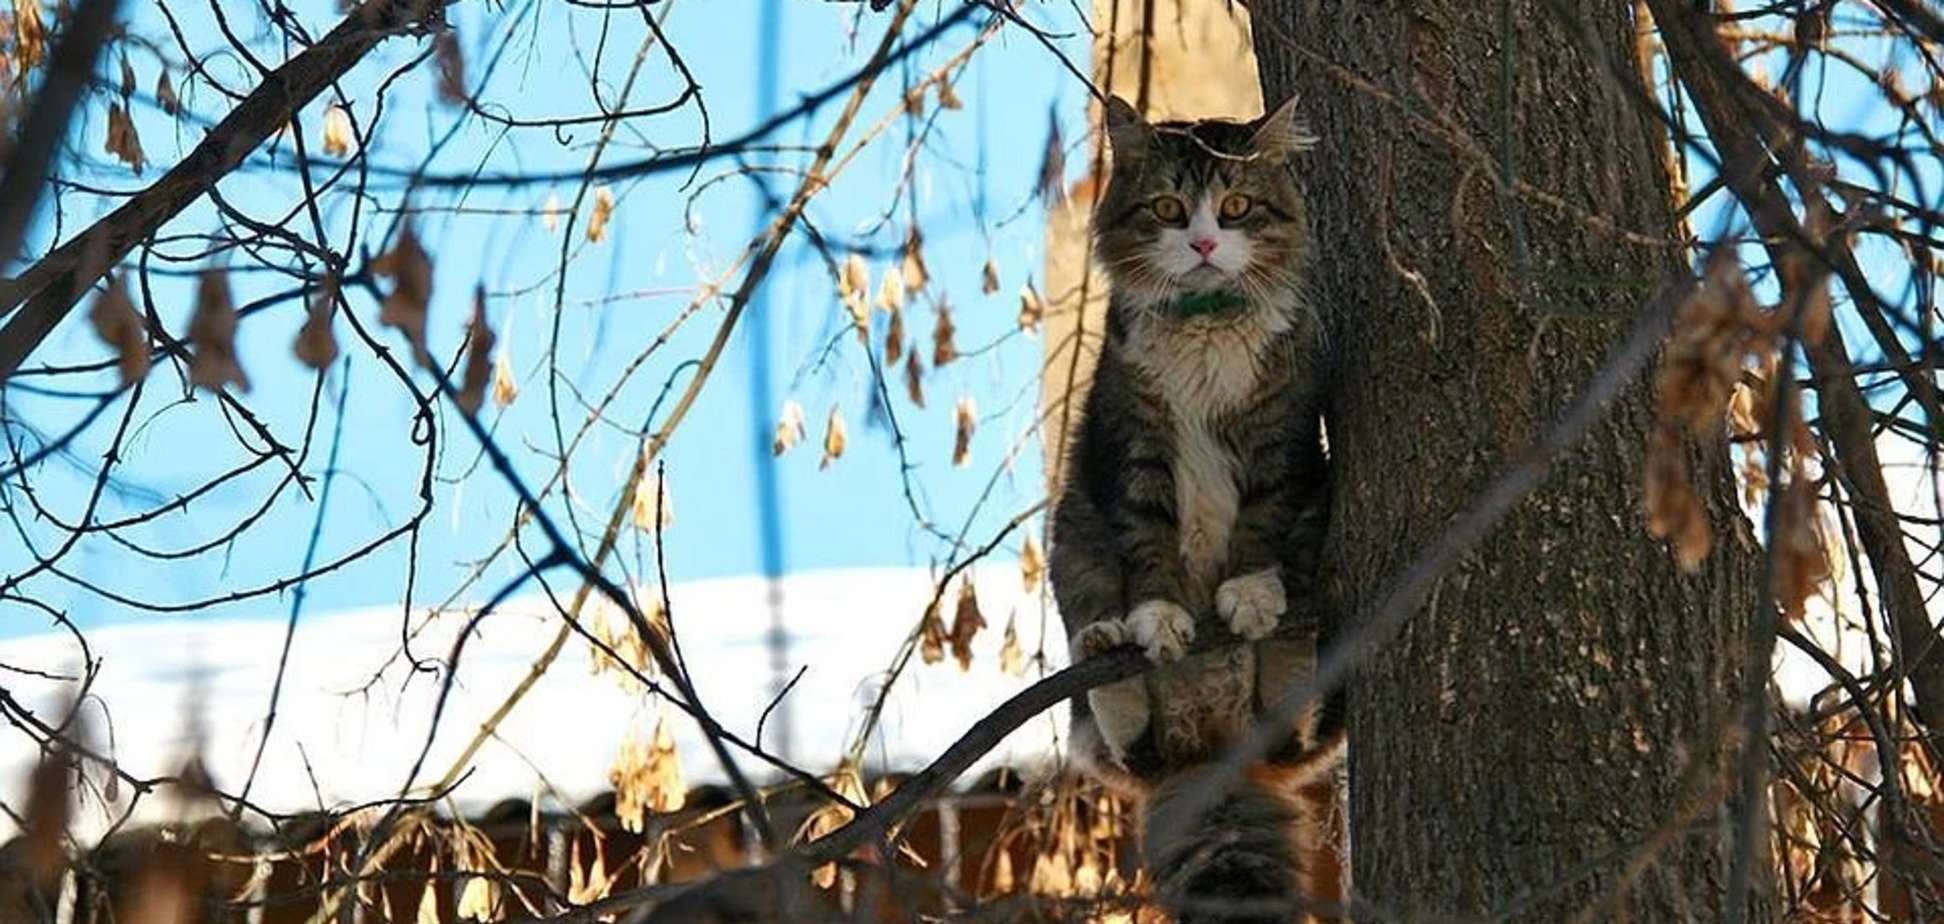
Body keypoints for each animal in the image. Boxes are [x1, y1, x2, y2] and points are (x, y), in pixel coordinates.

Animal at [1057, 95, 1345, 924]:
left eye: (1238, 206)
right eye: (1169, 209)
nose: (1207, 242)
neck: (1206, 322)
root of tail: (1213, 756)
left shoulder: (1282, 437)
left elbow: (1260, 524)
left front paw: (1248, 593)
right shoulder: (1135, 446)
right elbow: (1148, 543)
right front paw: (1158, 619)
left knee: (1294, 722)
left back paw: (1283, 637)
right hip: (1072, 545)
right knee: (1125, 739)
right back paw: (1106, 648)